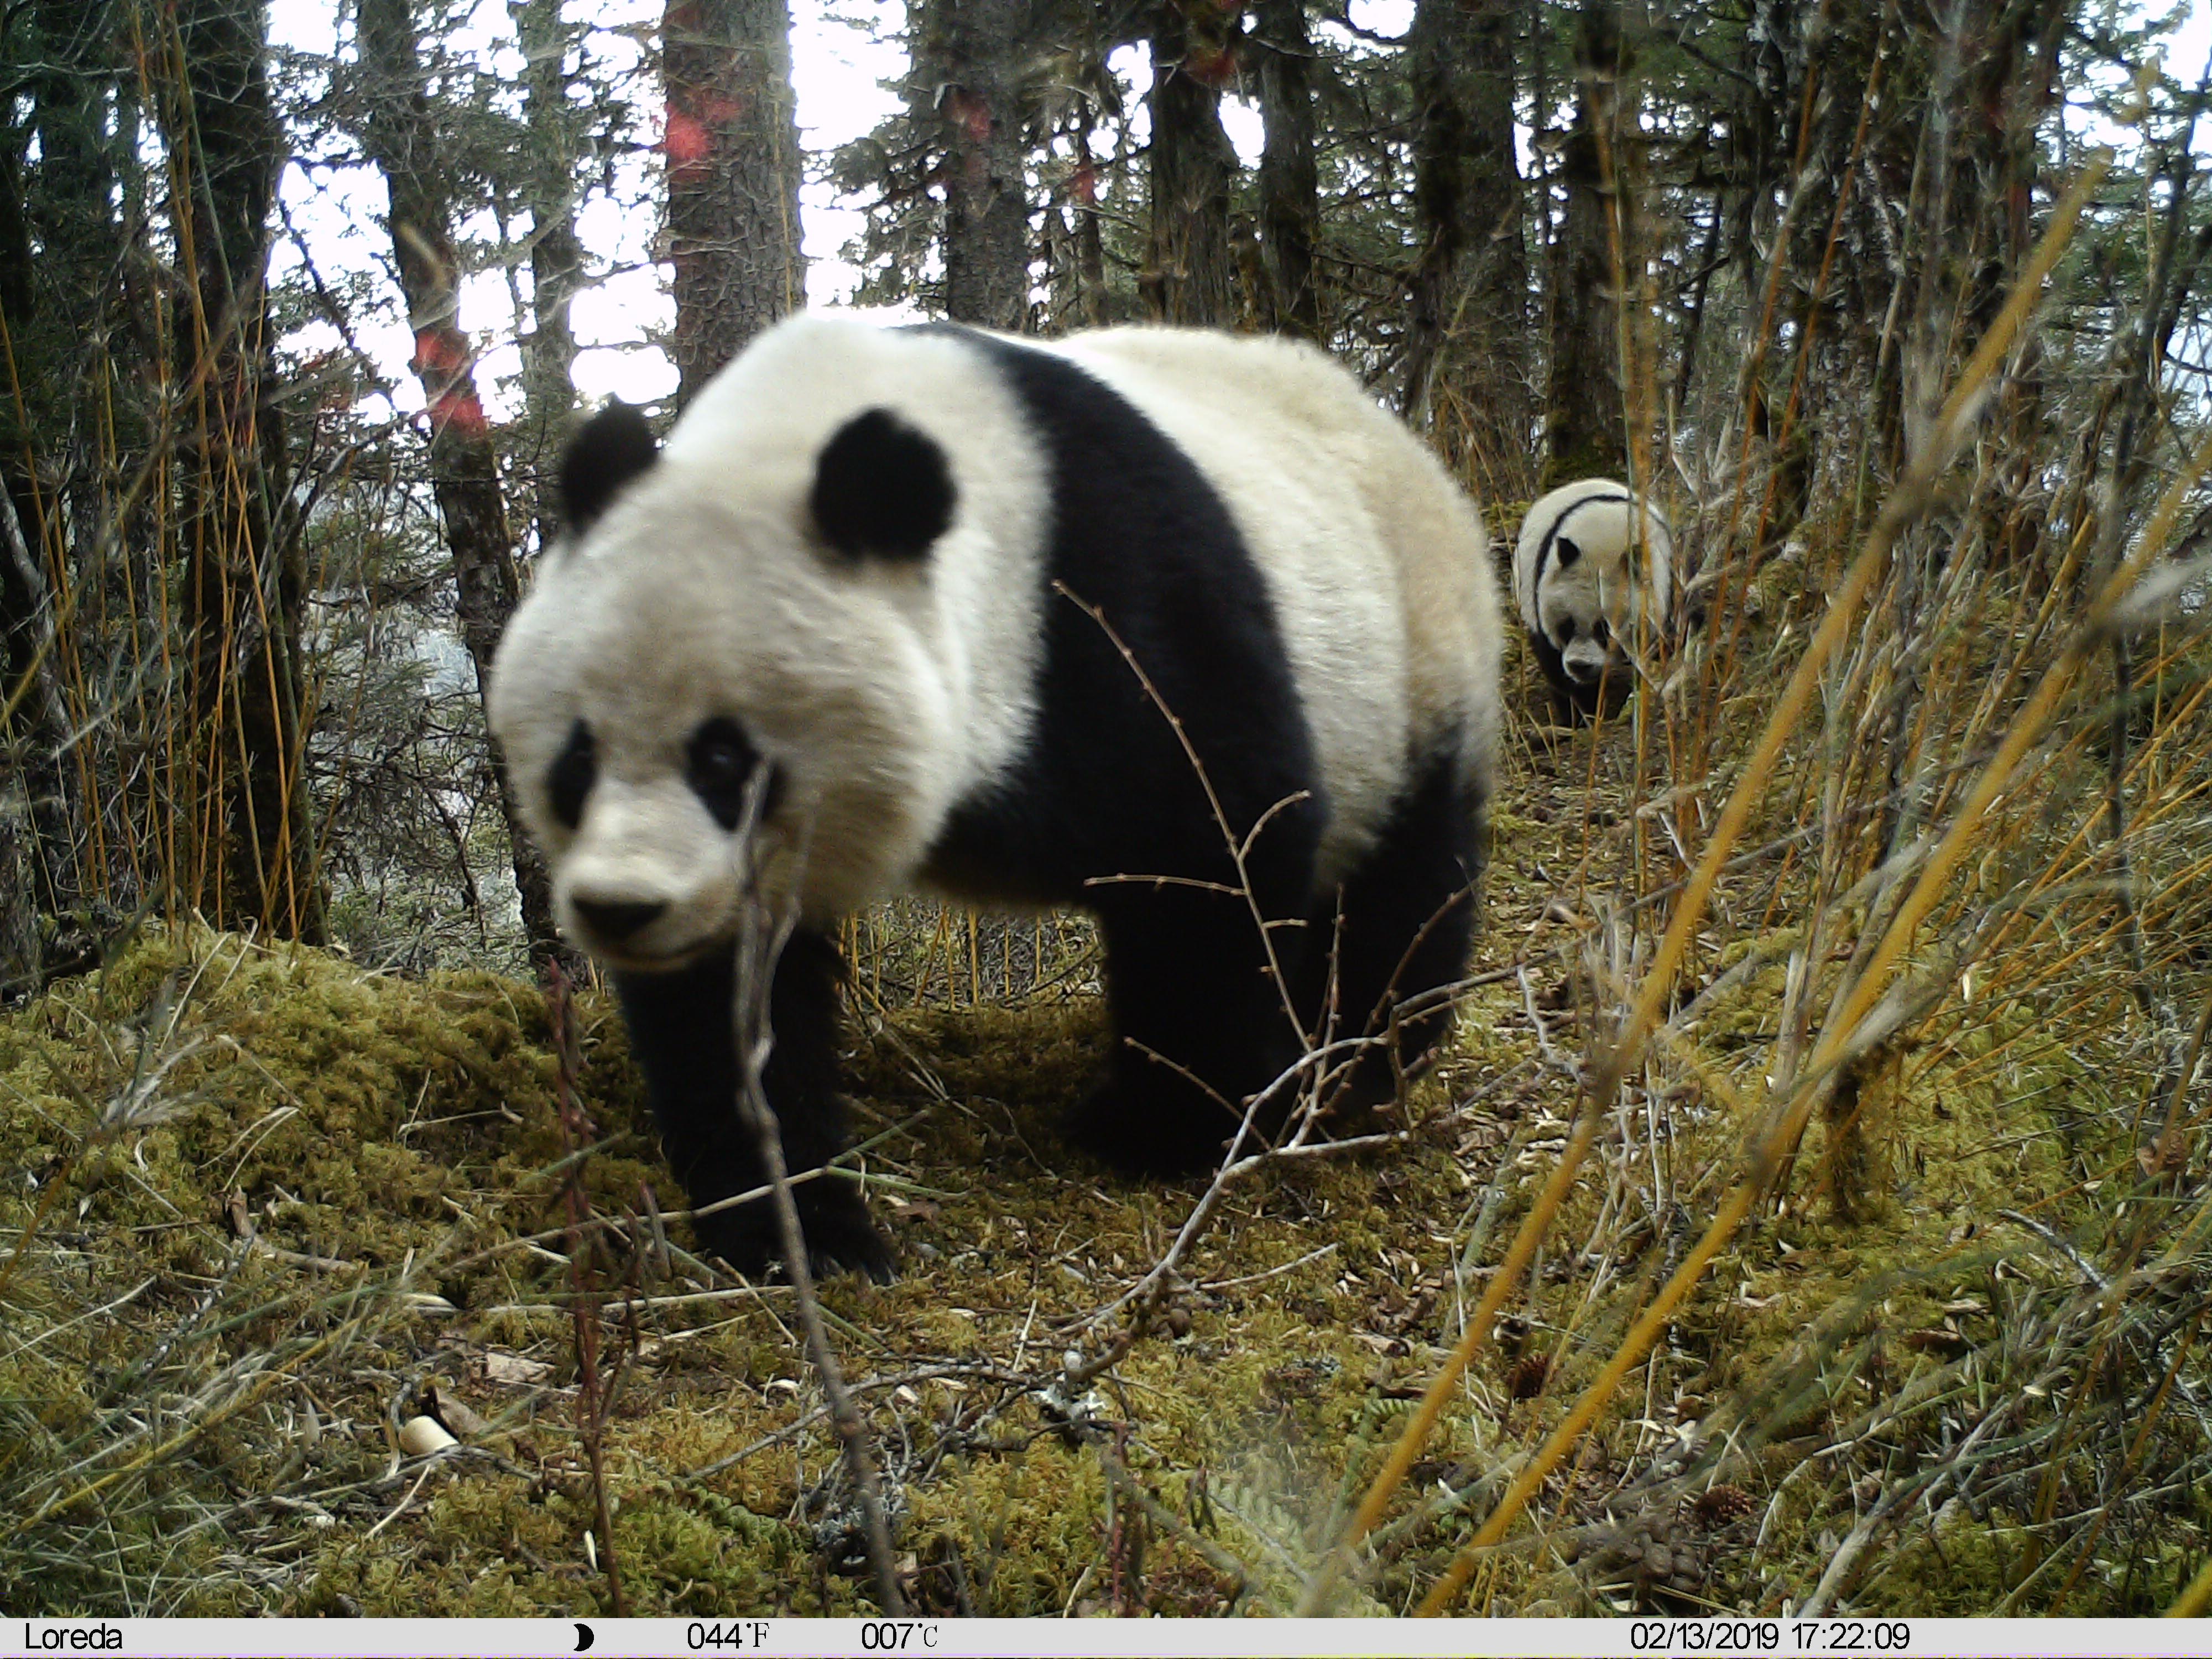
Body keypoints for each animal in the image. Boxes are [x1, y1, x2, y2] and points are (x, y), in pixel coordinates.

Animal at [489, 314, 1504, 1283]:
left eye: (725, 760)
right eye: (578, 759)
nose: (621, 908)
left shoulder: (1116, 605)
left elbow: (1220, 849)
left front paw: (1159, 1129)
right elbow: (731, 1008)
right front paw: (797, 1230)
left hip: (1409, 659)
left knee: (1403, 887)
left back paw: (1359, 1063)